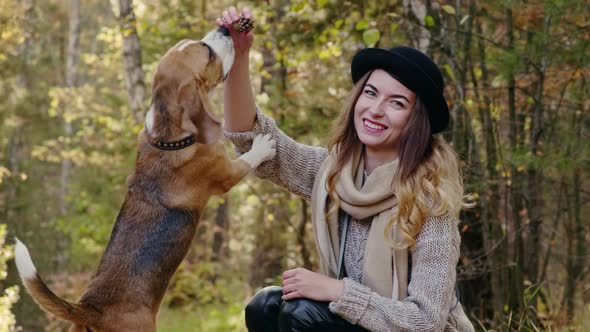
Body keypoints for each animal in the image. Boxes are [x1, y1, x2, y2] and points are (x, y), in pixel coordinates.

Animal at [13, 26, 278, 332]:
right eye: (207, 52)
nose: (224, 28)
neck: (168, 138)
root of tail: (90, 308)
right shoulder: (227, 174)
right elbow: (248, 159)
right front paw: (264, 144)